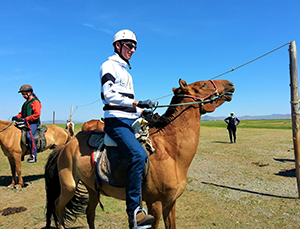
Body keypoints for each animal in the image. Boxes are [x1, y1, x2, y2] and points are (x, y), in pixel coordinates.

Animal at [44, 78, 234, 227]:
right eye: (203, 84)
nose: (230, 84)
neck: (170, 151)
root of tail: (66, 145)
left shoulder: (170, 203)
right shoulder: (154, 204)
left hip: (91, 188)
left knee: (89, 213)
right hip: (69, 187)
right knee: (58, 208)